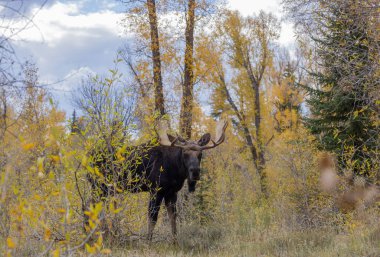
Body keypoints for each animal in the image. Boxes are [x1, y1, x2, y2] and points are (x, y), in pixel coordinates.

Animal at [87, 119, 227, 239]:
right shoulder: (155, 190)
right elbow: (153, 219)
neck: (176, 170)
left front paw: (175, 243)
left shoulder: (172, 192)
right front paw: (148, 242)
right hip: (98, 187)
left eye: (200, 154)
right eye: (185, 153)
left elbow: (173, 218)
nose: (195, 172)